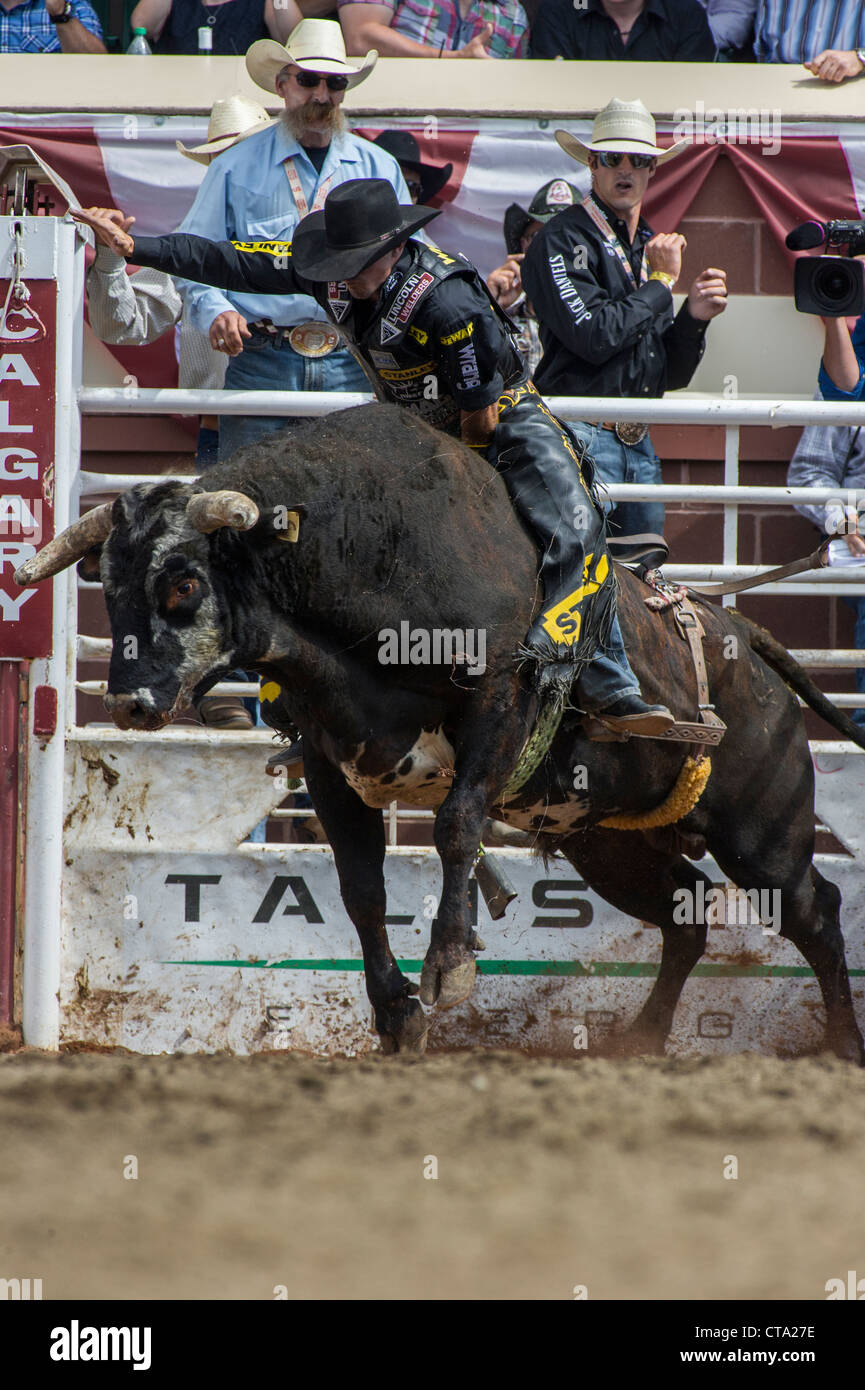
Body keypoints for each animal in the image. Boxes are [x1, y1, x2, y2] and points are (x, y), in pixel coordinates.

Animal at [27, 405, 865, 1056]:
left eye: (183, 581)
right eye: (109, 583)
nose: (129, 701)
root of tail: (742, 635)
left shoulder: (500, 703)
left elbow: (457, 826)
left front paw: (449, 966)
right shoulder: (331, 762)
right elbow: (360, 886)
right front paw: (396, 1013)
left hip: (762, 833)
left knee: (814, 910)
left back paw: (839, 1045)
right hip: (608, 845)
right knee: (686, 916)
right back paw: (642, 1038)